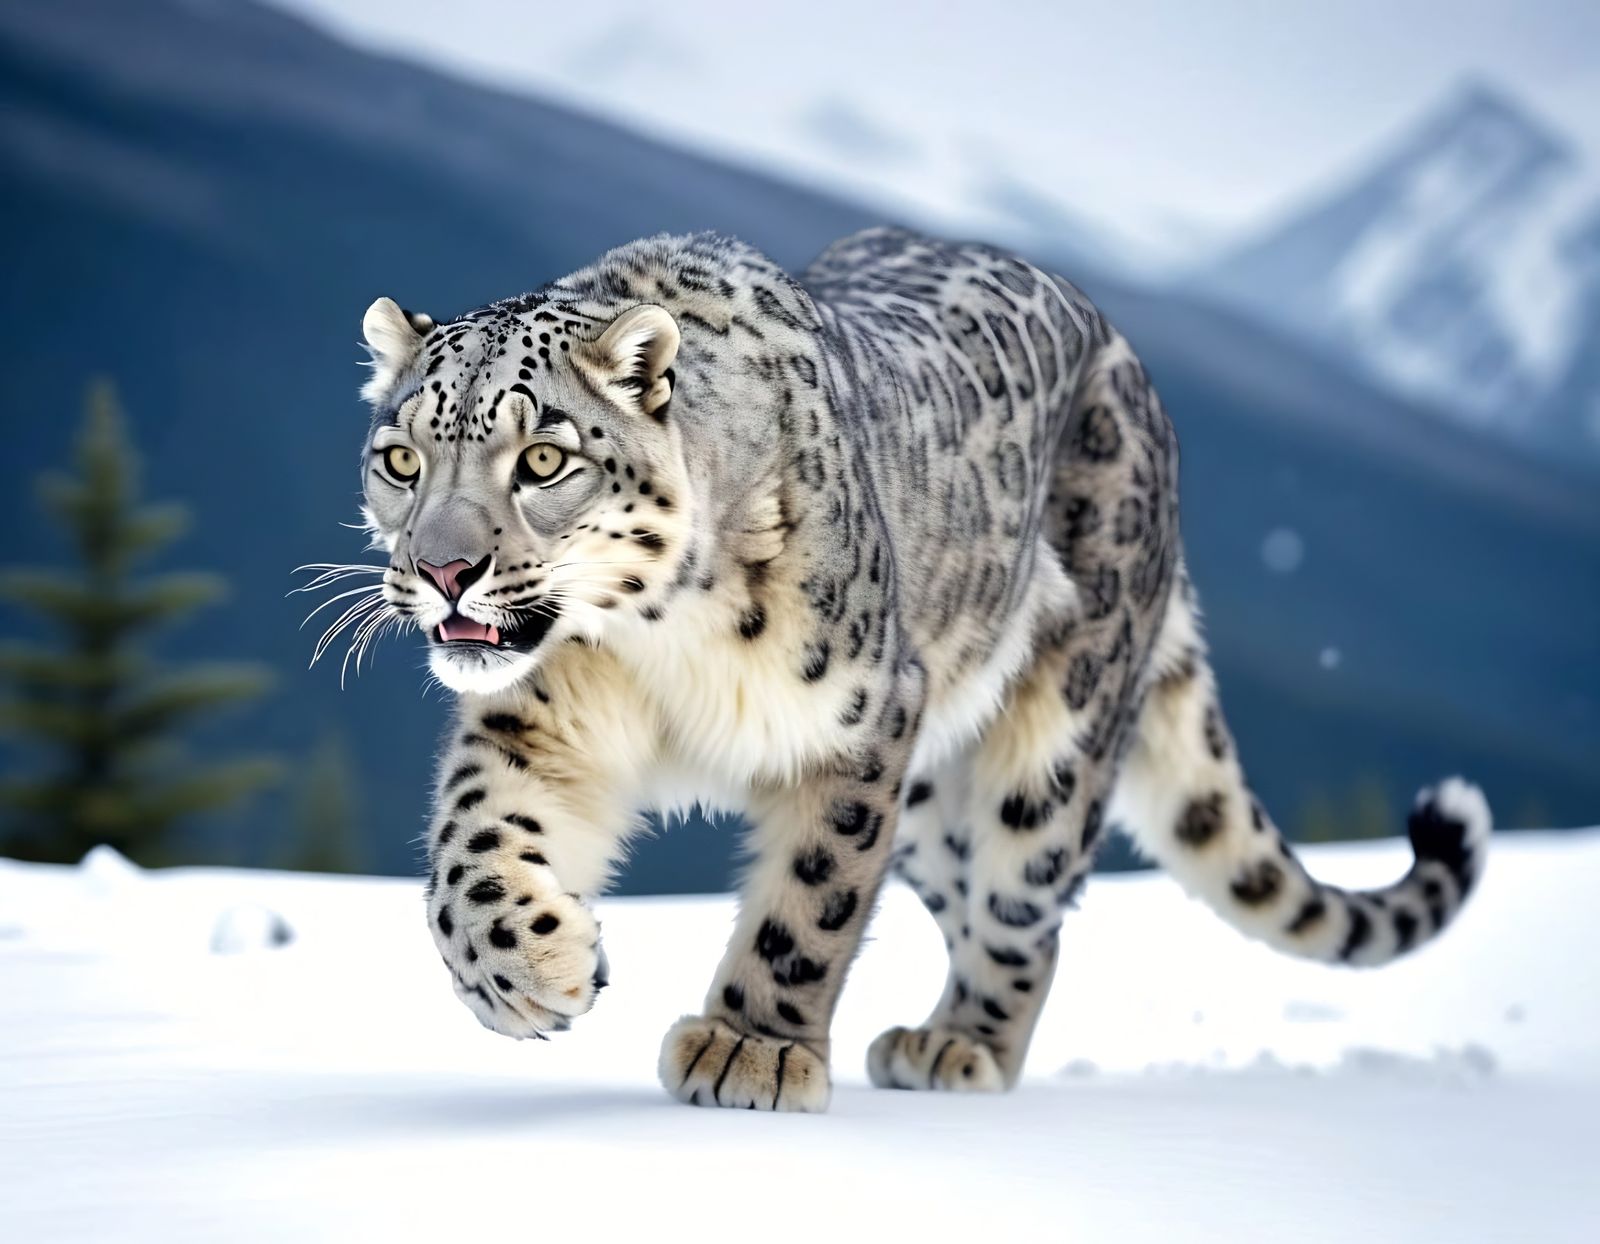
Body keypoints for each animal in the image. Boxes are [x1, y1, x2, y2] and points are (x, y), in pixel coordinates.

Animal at [328, 226, 1491, 1112]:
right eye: (401, 458)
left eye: (542, 459)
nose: (443, 570)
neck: (657, 646)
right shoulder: (541, 720)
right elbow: (472, 845)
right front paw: (529, 970)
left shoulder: (859, 722)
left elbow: (812, 898)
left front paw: (752, 1049)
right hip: (929, 798)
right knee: (973, 897)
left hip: (1052, 739)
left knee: (1024, 909)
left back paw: (959, 1044)